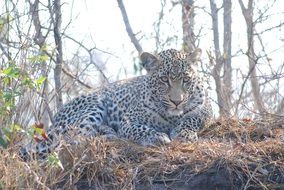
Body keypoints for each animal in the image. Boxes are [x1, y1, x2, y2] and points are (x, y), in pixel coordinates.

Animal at [20, 48, 212, 160]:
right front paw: (156, 136)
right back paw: (109, 135)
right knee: (73, 139)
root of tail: (55, 121)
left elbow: (191, 119)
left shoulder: (205, 109)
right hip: (93, 105)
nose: (177, 101)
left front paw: (184, 134)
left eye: (185, 79)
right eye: (164, 80)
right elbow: (138, 128)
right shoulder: (128, 121)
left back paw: (108, 131)